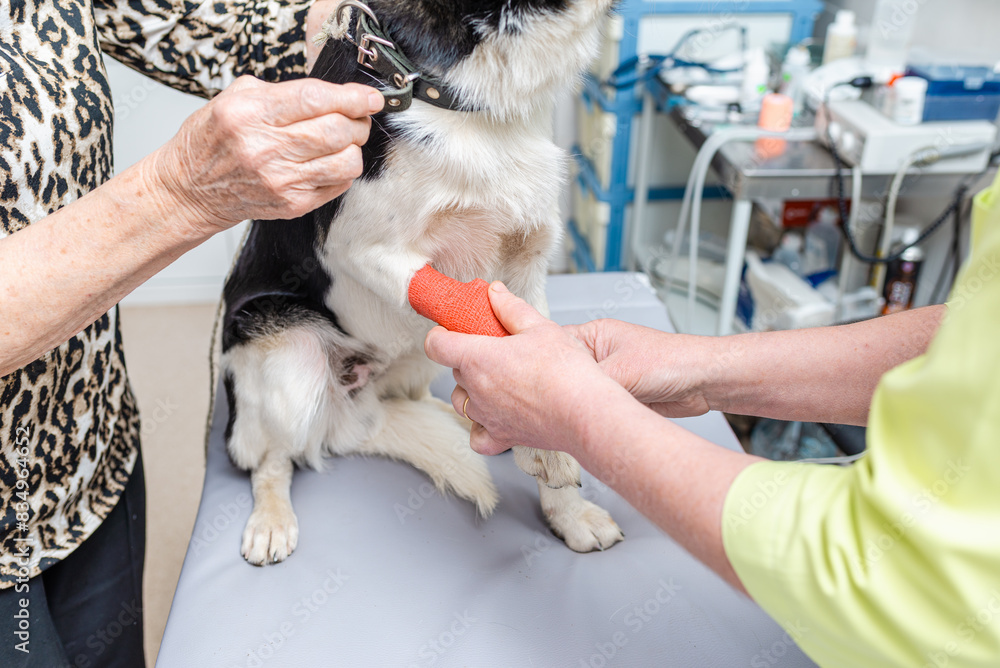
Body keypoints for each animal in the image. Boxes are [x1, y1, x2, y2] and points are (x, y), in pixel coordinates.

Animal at [223, 0, 620, 564]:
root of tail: (347, 419)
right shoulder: (368, 251)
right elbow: (498, 337)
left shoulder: (525, 268)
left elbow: (532, 346)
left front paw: (569, 513)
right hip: (290, 356)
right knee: (271, 458)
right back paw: (271, 521)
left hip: (417, 349)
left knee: (405, 398)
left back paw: (459, 417)